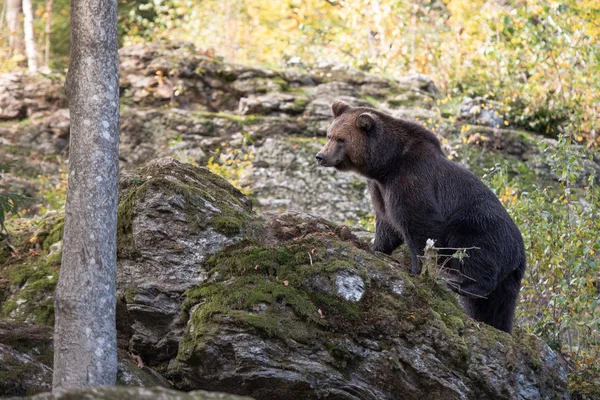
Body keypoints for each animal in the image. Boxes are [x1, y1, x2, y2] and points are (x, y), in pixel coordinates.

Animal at [316, 100, 528, 334]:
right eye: (329, 135)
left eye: (340, 139)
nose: (320, 156)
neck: (387, 164)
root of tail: (520, 254)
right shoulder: (380, 189)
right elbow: (386, 222)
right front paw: (375, 247)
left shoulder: (412, 180)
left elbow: (419, 225)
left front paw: (417, 269)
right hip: (510, 281)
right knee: (495, 307)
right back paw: (496, 324)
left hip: (482, 228)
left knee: (476, 256)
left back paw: (462, 284)